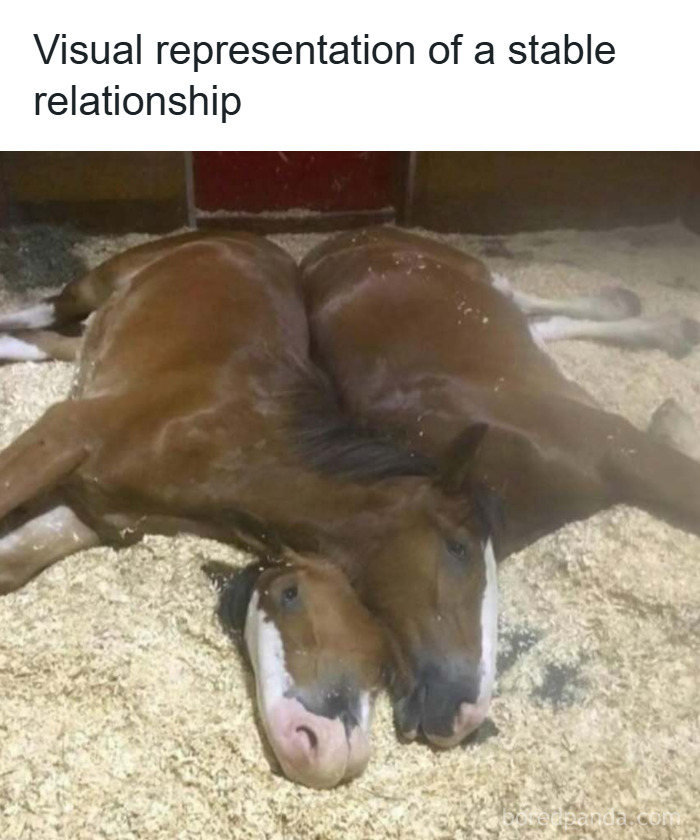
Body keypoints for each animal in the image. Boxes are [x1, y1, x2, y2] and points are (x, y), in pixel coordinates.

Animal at [0, 231, 499, 784]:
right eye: (458, 548)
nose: (466, 712)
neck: (232, 436)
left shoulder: (96, 517)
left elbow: (10, 565)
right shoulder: (64, 433)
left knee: (54, 342)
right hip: (94, 284)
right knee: (41, 312)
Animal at [299, 227, 700, 741]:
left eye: (456, 549)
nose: (443, 715)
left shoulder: (621, 447)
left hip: (471, 272)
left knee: (520, 297)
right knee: (537, 324)